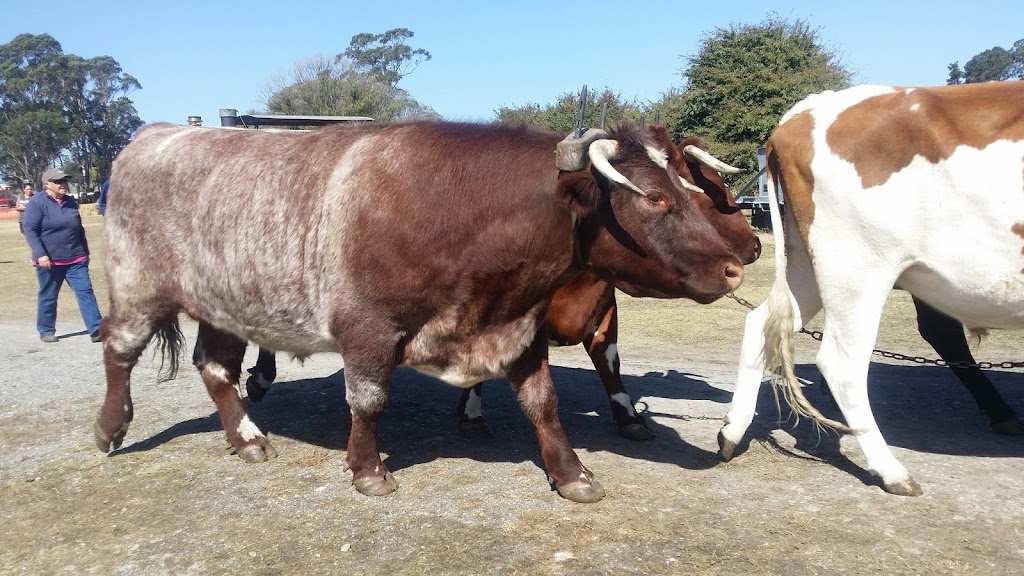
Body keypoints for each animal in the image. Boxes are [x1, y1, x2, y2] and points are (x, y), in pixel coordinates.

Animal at [97, 120, 745, 502]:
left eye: (686, 186)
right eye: (655, 198)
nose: (736, 266)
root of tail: (152, 135)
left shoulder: (519, 328)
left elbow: (543, 402)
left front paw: (571, 474)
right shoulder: (368, 329)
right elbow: (368, 401)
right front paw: (367, 470)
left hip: (224, 305)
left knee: (215, 369)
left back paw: (248, 437)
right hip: (137, 287)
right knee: (118, 351)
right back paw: (110, 427)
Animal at [716, 80, 1024, 494]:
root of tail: (806, 110)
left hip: (807, 264)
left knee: (761, 324)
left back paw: (731, 433)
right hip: (858, 267)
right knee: (843, 362)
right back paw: (892, 470)